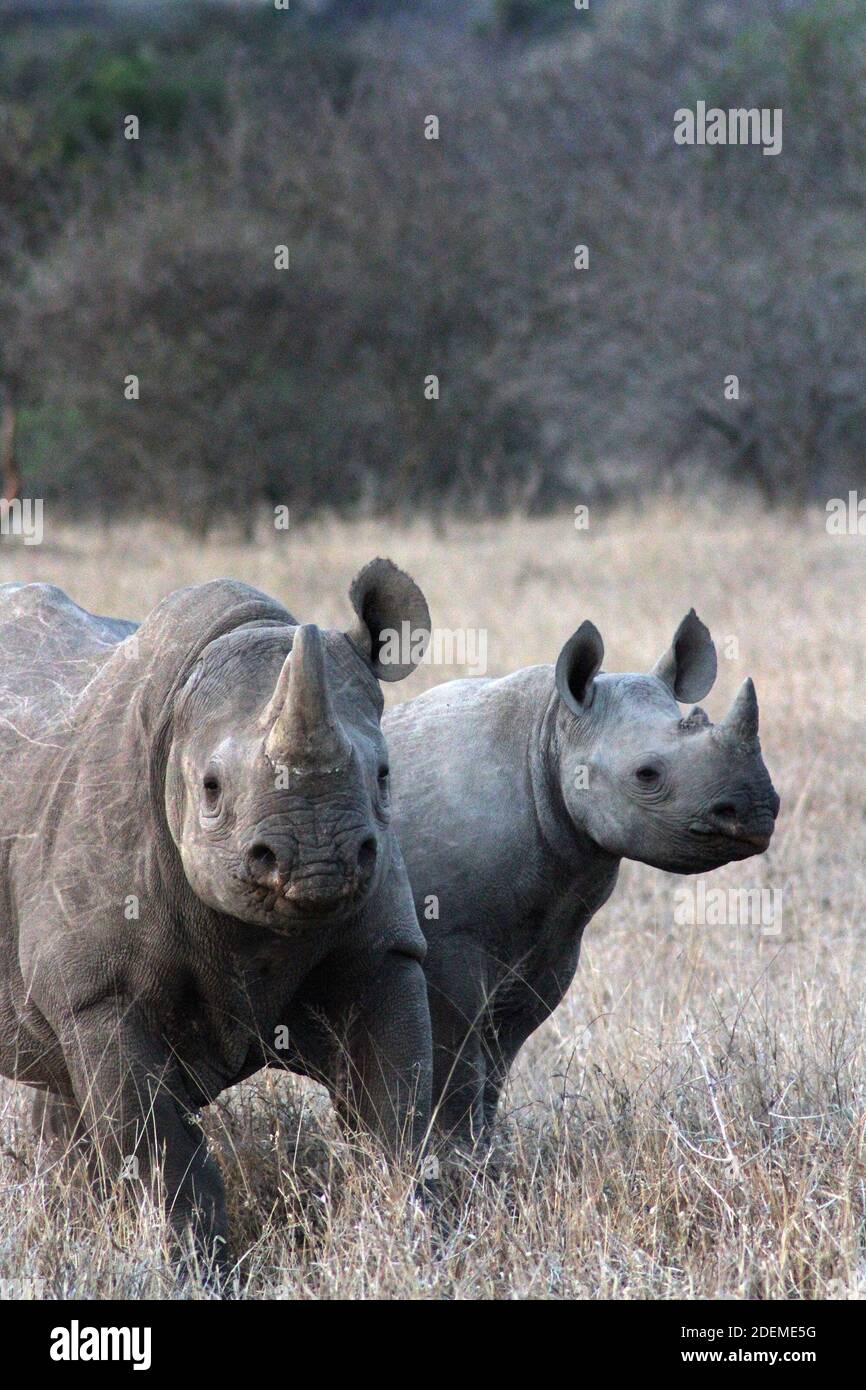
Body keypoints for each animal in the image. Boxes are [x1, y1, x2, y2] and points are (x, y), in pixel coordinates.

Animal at [0, 561, 433, 1270]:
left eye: (384, 776)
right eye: (210, 788)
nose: (319, 861)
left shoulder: (380, 948)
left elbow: (396, 1113)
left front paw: (413, 1239)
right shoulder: (100, 994)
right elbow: (157, 1151)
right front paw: (191, 1268)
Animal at [384, 611, 780, 1146]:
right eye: (647, 774)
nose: (758, 811)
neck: (549, 735)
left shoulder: (550, 943)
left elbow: (495, 1059)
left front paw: (486, 1155)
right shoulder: (444, 940)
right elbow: (456, 1059)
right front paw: (453, 1157)